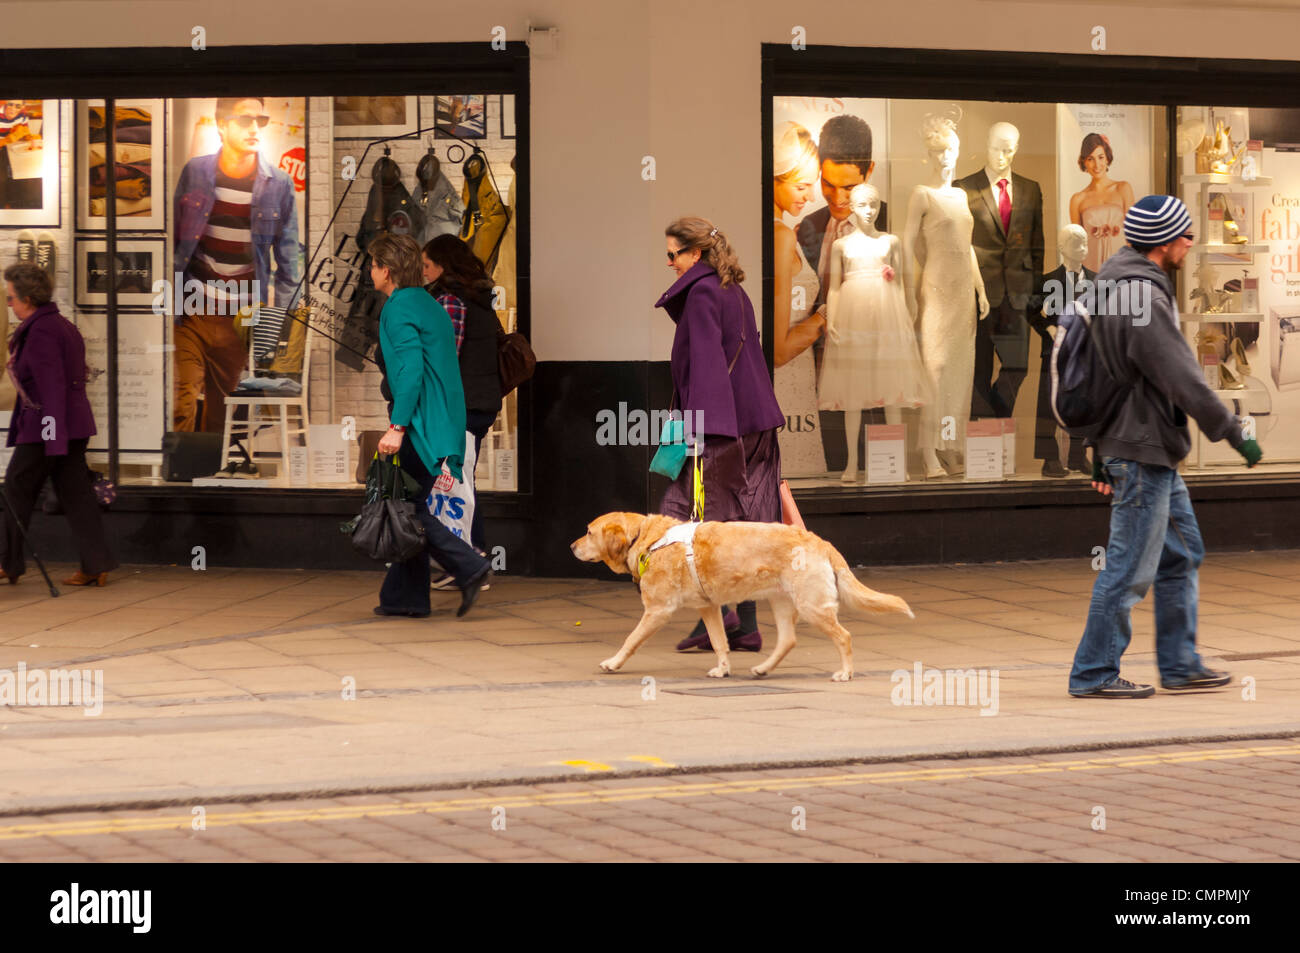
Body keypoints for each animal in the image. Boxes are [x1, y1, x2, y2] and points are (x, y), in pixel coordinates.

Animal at [569, 509, 915, 681]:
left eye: (588, 532)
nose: (571, 546)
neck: (646, 538)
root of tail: (820, 540)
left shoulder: (657, 610)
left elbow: (631, 640)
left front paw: (613, 663)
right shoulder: (708, 609)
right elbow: (719, 642)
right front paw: (723, 668)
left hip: (812, 605)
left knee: (844, 636)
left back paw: (846, 672)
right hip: (781, 602)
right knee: (788, 640)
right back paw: (763, 669)